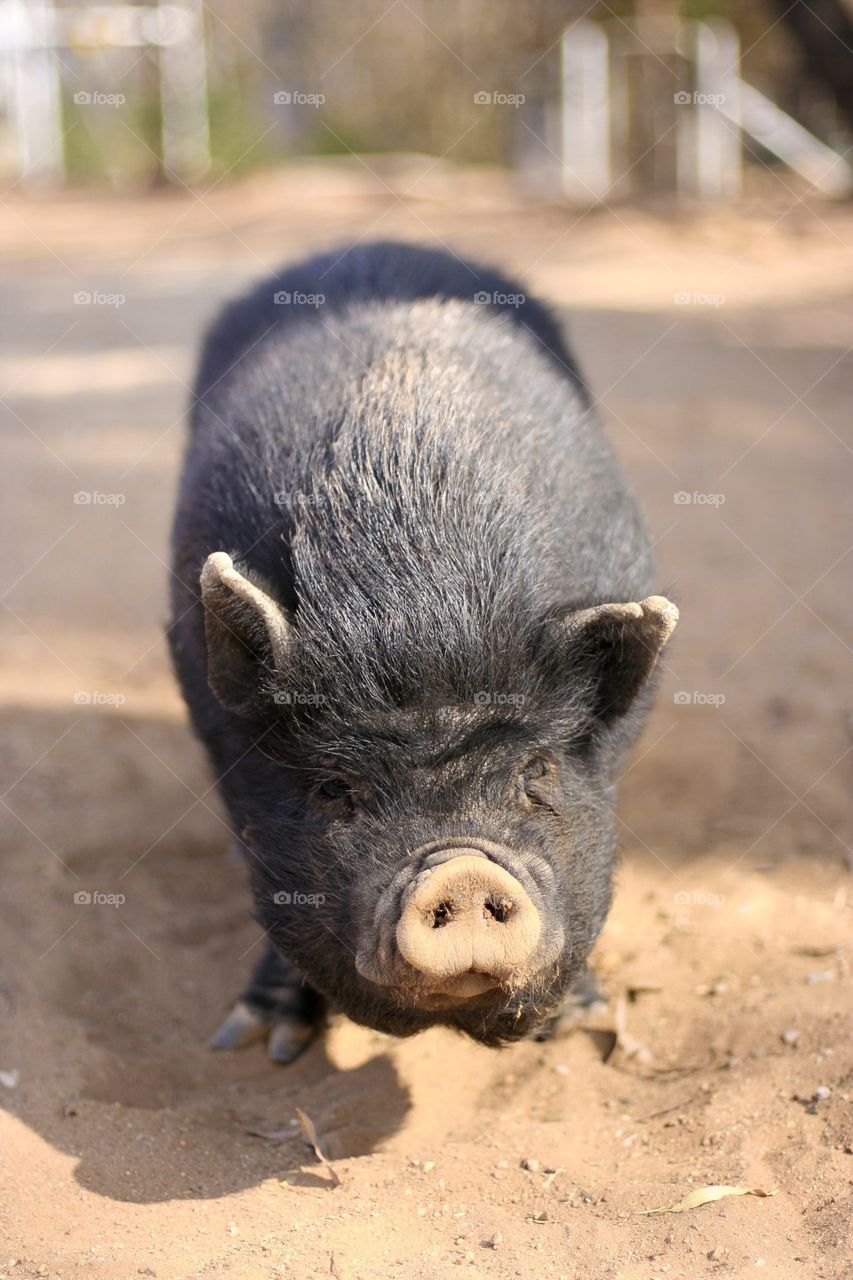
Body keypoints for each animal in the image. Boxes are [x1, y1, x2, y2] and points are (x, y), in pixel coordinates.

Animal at [169, 240, 676, 1059]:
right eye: (333, 789)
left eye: (536, 773)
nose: (461, 874)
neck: (424, 605)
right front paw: (257, 1042)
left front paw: (579, 1025)